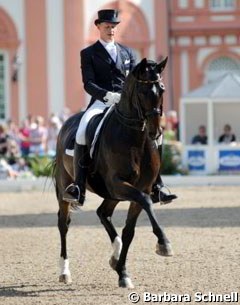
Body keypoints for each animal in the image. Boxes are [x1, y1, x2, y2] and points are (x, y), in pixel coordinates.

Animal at [53, 57, 172, 288]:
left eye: (162, 89)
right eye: (143, 91)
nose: (155, 132)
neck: (135, 139)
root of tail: (65, 124)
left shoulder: (139, 187)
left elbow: (129, 231)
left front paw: (123, 273)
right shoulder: (119, 183)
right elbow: (146, 202)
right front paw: (163, 243)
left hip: (111, 194)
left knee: (103, 213)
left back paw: (115, 257)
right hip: (66, 188)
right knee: (64, 224)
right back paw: (64, 271)